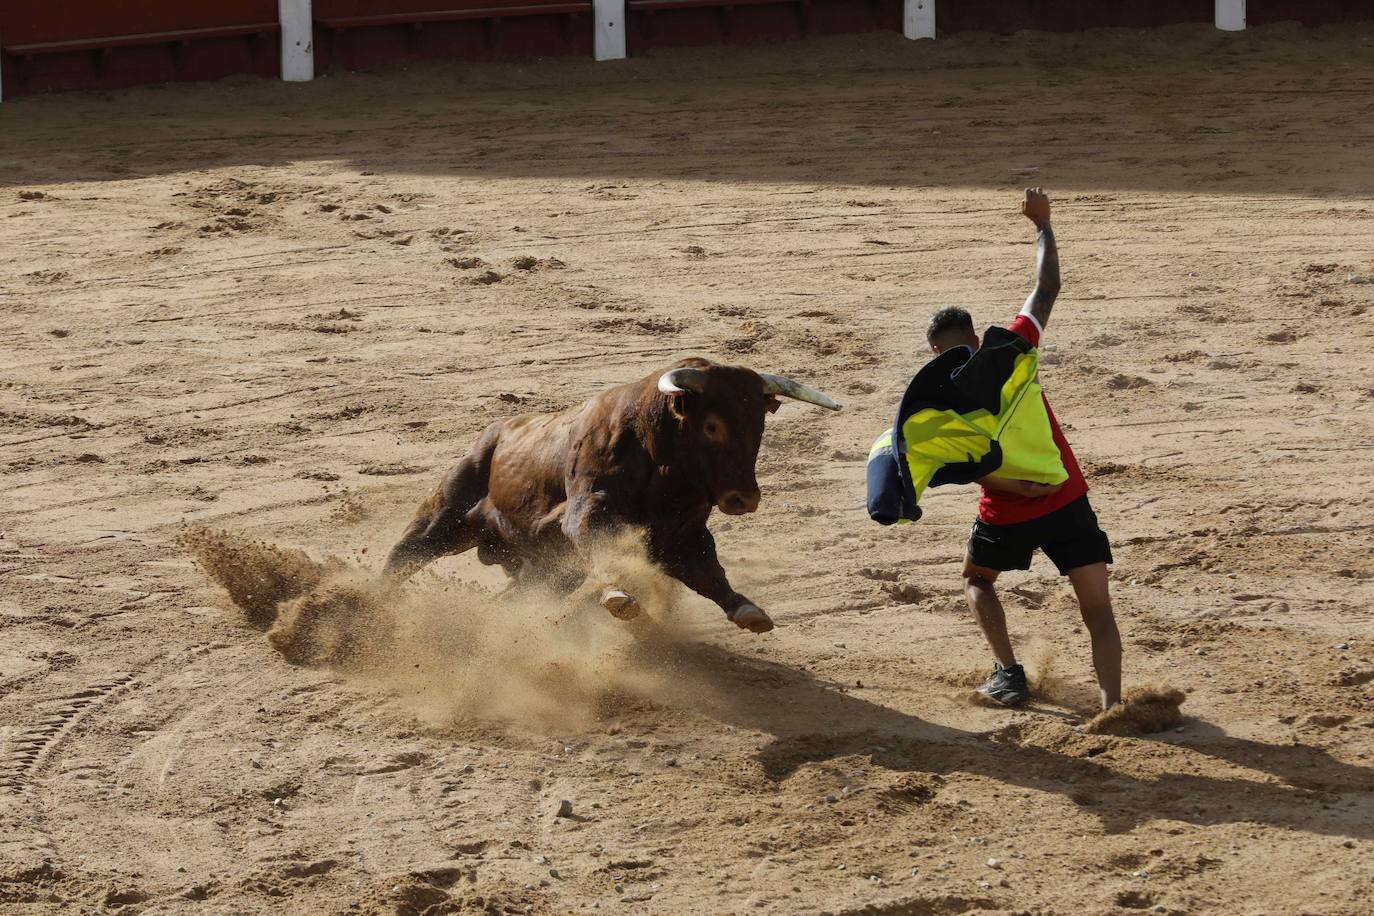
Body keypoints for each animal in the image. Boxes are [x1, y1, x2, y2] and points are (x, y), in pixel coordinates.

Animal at [381, 359, 840, 637]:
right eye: (711, 425)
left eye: (758, 423)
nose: (744, 498)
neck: (659, 459)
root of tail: (497, 430)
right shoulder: (588, 510)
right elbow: (599, 543)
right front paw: (618, 597)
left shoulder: (683, 534)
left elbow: (709, 571)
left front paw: (747, 610)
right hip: (444, 515)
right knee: (404, 556)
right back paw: (369, 609)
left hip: (545, 574)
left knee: (511, 599)